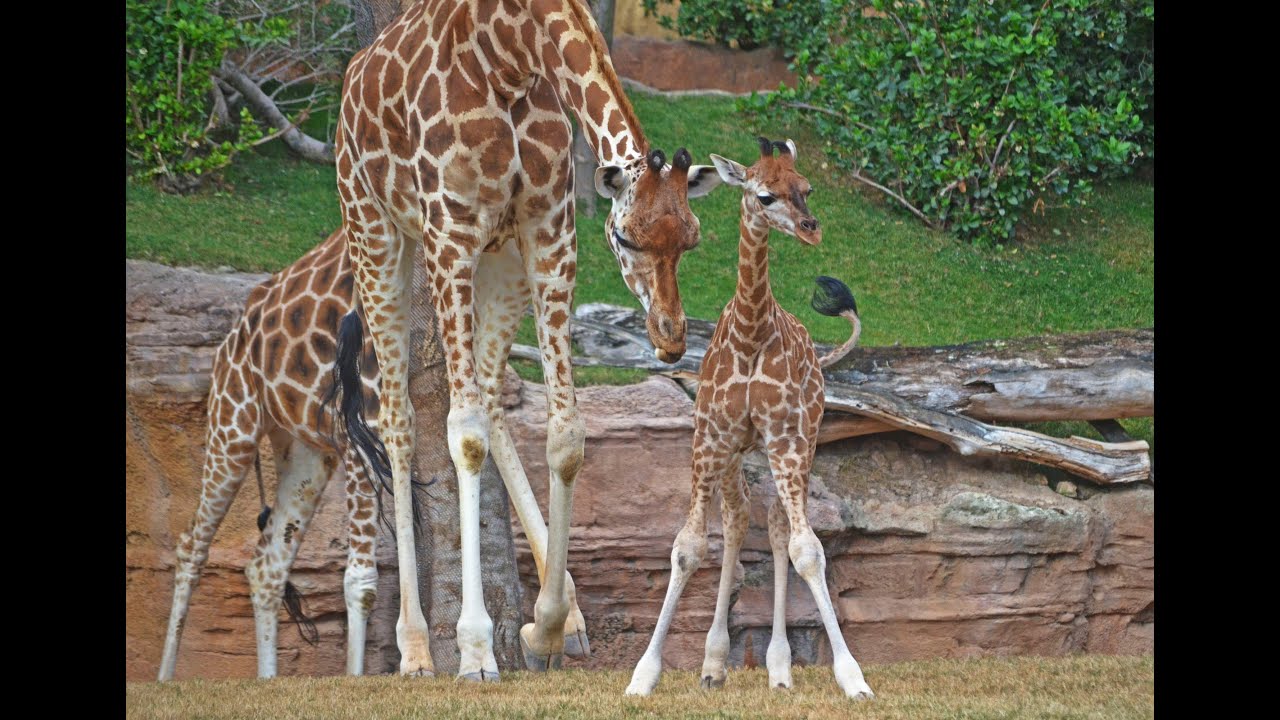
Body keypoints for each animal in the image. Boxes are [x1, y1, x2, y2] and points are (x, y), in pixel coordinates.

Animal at [331, 0, 723, 680]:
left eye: (691, 238)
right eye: (626, 238)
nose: (671, 340)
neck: (509, 53)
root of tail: (353, 78)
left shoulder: (548, 229)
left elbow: (565, 436)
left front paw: (545, 627)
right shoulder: (450, 233)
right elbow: (462, 435)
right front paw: (476, 649)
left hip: (502, 257)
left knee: (490, 392)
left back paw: (570, 618)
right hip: (376, 231)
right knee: (400, 418)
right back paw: (415, 649)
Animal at [624, 138, 875, 699]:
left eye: (806, 188)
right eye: (764, 195)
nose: (811, 228)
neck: (750, 334)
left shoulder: (785, 440)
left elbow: (808, 549)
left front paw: (853, 678)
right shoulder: (710, 440)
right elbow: (688, 547)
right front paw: (642, 676)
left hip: (804, 440)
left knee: (779, 524)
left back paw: (779, 668)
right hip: (739, 455)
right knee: (740, 518)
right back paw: (714, 663)